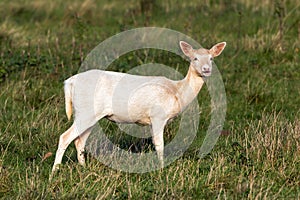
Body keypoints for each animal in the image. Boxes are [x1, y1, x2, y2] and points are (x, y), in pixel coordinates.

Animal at [50, 40, 226, 178]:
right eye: (195, 58)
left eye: (211, 58)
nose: (206, 69)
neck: (177, 92)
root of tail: (70, 82)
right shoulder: (158, 116)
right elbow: (159, 144)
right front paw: (161, 169)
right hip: (85, 111)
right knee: (65, 137)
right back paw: (54, 172)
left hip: (89, 114)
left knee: (79, 141)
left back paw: (84, 168)